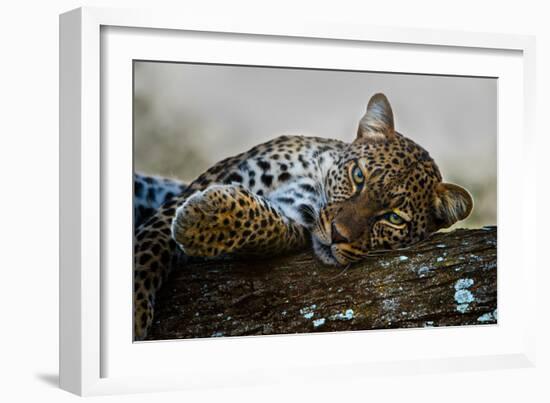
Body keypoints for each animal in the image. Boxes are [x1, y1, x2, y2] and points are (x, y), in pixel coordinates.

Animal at [134, 93, 474, 340]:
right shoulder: (199, 186)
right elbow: (149, 249)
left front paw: (203, 218)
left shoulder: (294, 220)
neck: (313, 176)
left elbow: (267, 224)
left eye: (394, 218)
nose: (338, 234)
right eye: (358, 176)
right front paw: (136, 312)